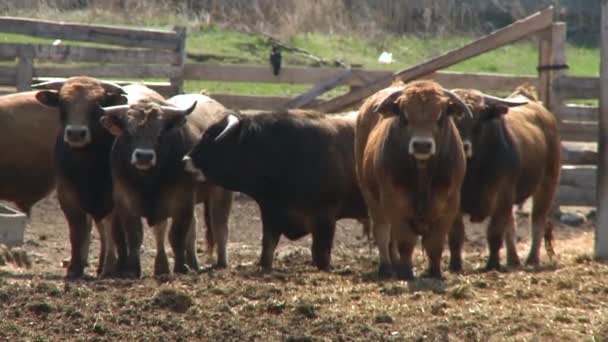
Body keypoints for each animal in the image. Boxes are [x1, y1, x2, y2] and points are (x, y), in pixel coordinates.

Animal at [33, 77, 165, 278]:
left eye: (97, 105)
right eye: (63, 103)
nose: (76, 133)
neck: (86, 165)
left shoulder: (115, 200)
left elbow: (117, 235)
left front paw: (117, 267)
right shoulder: (67, 197)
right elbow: (78, 233)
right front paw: (74, 268)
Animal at [100, 93, 233, 278]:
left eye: (160, 133)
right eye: (129, 132)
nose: (144, 156)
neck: (148, 181)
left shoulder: (182, 201)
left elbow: (176, 235)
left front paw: (180, 267)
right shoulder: (126, 201)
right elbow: (135, 235)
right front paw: (133, 269)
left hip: (220, 193)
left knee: (220, 224)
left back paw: (220, 263)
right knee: (193, 228)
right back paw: (193, 263)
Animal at [183, 109, 368, 272]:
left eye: (209, 135)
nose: (186, 160)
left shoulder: (325, 218)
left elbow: (322, 255)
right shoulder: (271, 214)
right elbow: (267, 249)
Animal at [354, 80, 472, 280]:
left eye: (440, 116)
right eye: (404, 115)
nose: (422, 145)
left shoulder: (448, 204)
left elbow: (435, 243)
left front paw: (435, 272)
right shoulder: (394, 202)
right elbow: (405, 241)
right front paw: (406, 272)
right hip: (370, 196)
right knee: (383, 232)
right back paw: (387, 267)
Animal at [446, 85, 560, 272]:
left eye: (478, 119)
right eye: (453, 118)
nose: (464, 146)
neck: (473, 171)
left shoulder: (503, 195)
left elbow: (495, 232)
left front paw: (492, 264)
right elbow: (456, 234)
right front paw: (455, 266)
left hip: (547, 184)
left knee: (537, 221)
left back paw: (532, 259)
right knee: (511, 226)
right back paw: (513, 259)